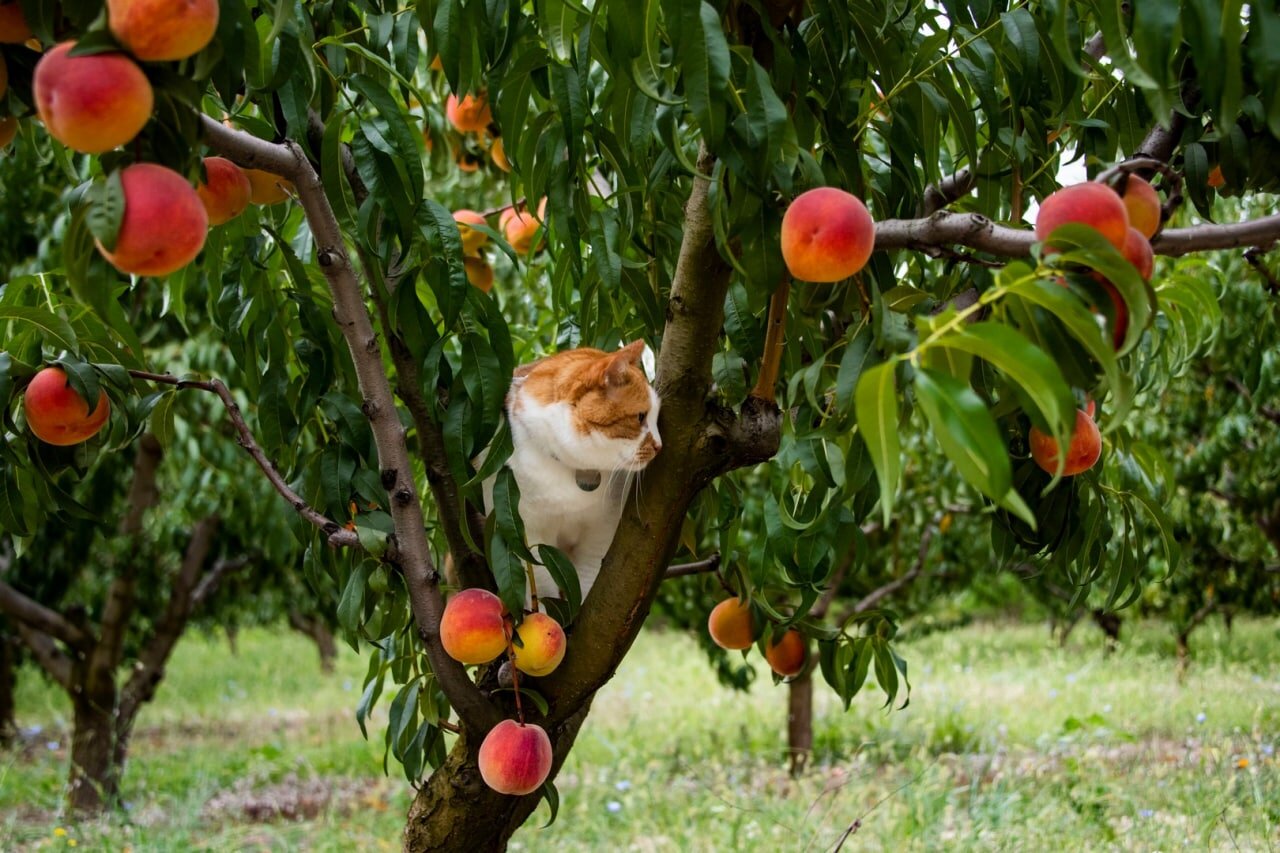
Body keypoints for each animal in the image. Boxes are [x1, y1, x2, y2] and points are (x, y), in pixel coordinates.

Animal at [491, 338, 665, 596]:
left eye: (655, 417)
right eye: (640, 417)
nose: (660, 446)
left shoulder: (601, 534)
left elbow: (588, 581)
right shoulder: (528, 539)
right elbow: (541, 591)